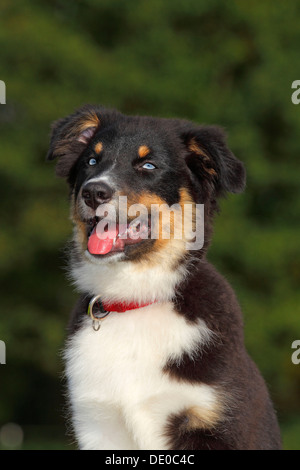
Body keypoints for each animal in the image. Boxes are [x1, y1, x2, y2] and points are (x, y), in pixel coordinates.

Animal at [46, 104, 282, 450]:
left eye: (148, 165)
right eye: (91, 161)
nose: (93, 192)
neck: (135, 299)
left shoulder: (215, 419)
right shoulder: (99, 424)